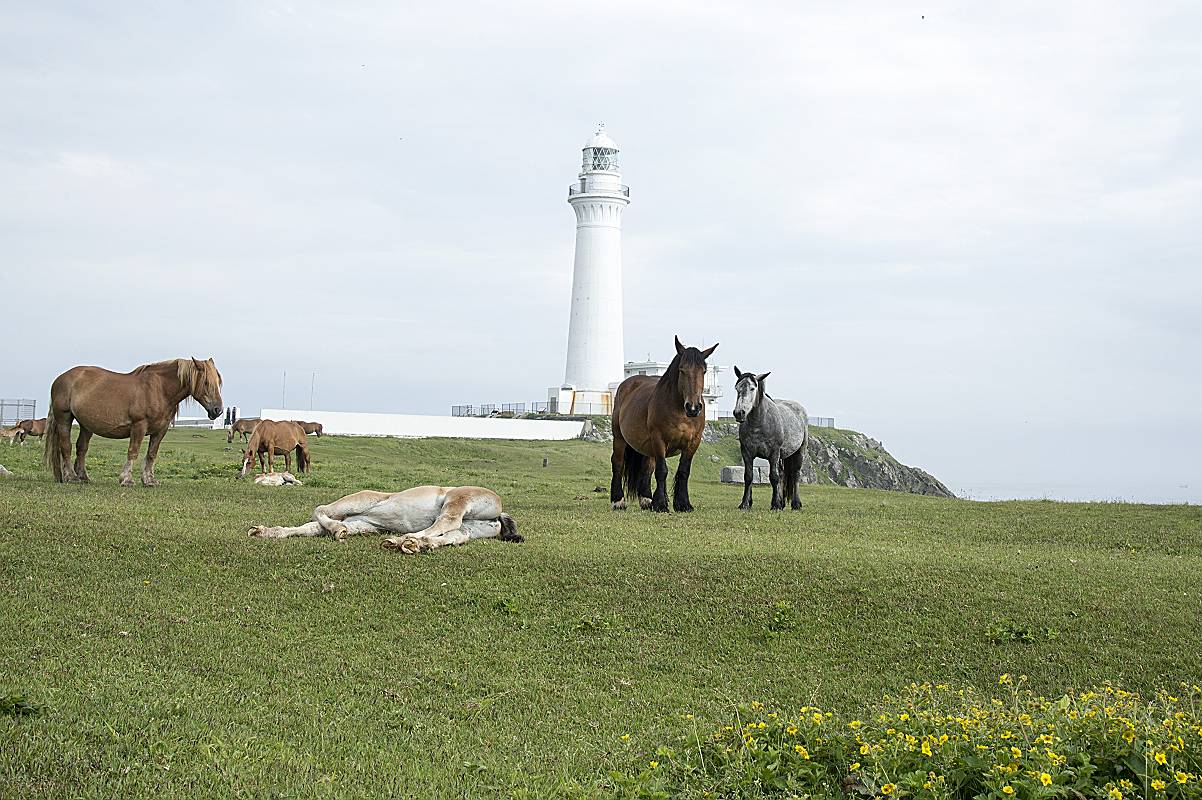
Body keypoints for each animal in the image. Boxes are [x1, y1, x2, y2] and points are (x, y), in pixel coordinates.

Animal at [43, 355, 223, 482]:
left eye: (218, 383)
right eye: (206, 382)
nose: (218, 410)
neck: (160, 390)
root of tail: (60, 378)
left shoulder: (161, 430)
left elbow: (151, 454)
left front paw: (149, 480)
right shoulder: (139, 426)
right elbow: (133, 451)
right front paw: (127, 479)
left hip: (86, 425)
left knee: (82, 448)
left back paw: (83, 477)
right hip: (64, 418)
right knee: (66, 447)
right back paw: (71, 476)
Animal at [248, 482, 521, 552]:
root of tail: (499, 512)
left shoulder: (362, 499)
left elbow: (320, 510)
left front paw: (338, 531)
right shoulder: (361, 523)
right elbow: (310, 527)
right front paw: (265, 531)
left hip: (458, 499)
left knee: (446, 520)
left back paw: (404, 541)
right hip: (471, 528)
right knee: (454, 536)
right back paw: (419, 544)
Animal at [610, 331, 711, 511]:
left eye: (704, 371)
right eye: (682, 370)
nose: (693, 407)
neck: (681, 412)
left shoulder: (693, 443)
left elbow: (683, 472)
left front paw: (683, 504)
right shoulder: (659, 440)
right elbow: (662, 471)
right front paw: (662, 504)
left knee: (646, 468)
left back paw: (646, 499)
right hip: (620, 439)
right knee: (618, 463)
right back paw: (618, 500)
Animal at [726, 365, 812, 506]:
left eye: (752, 388)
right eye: (737, 388)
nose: (739, 413)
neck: (759, 423)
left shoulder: (774, 453)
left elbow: (773, 477)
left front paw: (775, 505)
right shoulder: (747, 453)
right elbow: (748, 477)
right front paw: (745, 503)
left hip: (799, 452)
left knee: (795, 475)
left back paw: (795, 504)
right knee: (782, 475)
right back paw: (782, 503)